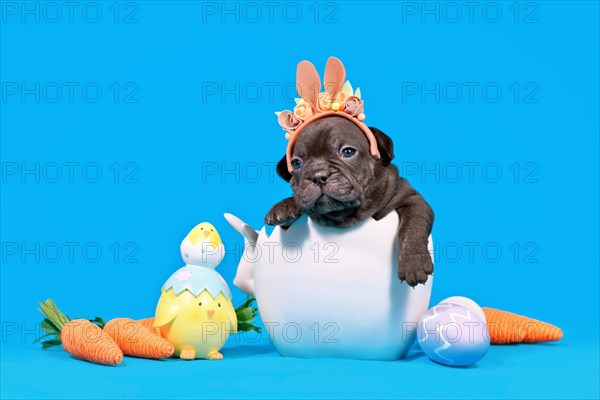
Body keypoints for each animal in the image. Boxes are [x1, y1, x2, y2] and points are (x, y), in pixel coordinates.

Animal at [264, 115, 434, 288]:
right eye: (297, 163)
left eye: (348, 152)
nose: (318, 175)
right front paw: (284, 207)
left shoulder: (410, 198)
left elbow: (411, 226)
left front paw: (414, 263)